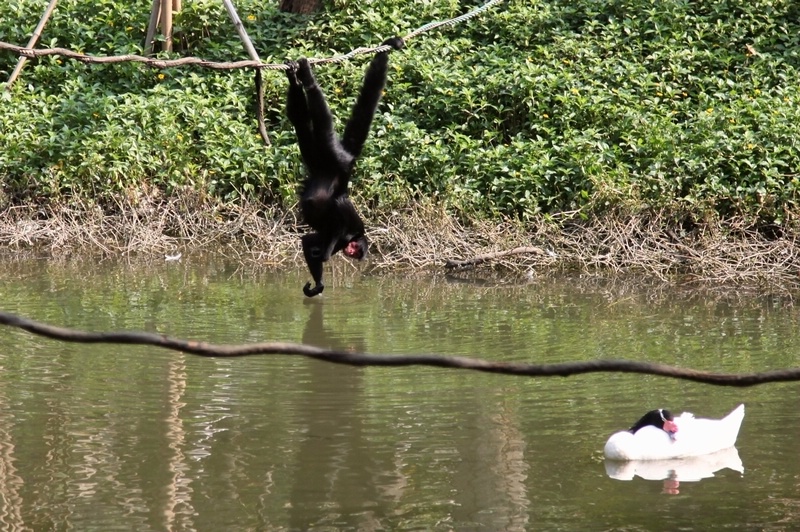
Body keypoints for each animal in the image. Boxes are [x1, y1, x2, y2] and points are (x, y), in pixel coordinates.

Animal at [285, 37, 404, 297]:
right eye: (356, 250)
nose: (352, 252)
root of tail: (346, 165)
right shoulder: (346, 232)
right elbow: (338, 220)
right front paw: (325, 256)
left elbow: (308, 241)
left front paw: (317, 285)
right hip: (334, 158)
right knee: (323, 125)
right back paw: (308, 79)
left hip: (318, 161)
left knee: (300, 120)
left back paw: (295, 81)